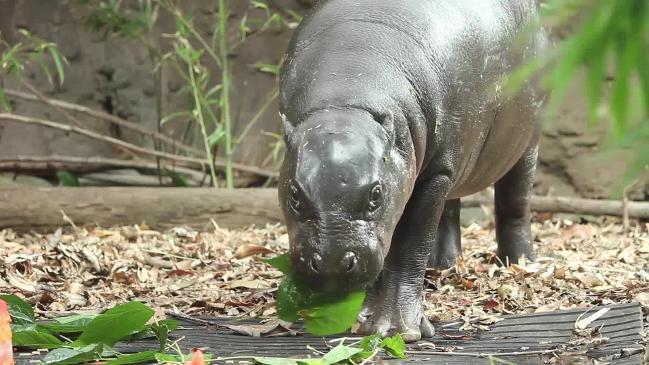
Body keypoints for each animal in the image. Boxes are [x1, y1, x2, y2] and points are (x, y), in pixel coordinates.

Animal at [276, 0, 544, 342]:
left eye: (376, 195)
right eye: (294, 195)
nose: (333, 264)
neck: (346, 102)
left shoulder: (432, 174)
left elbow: (408, 244)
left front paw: (397, 329)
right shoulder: (438, 168)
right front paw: (360, 315)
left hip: (526, 141)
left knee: (514, 203)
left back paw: (519, 263)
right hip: (453, 163)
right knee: (449, 209)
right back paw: (441, 264)